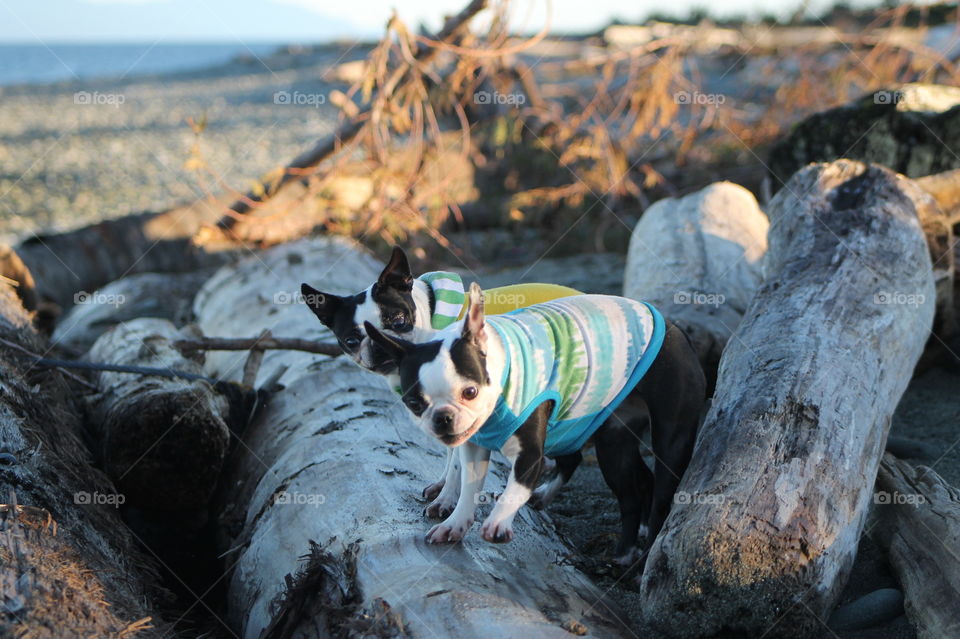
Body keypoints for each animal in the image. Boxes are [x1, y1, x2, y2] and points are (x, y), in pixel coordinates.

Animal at [364, 282, 700, 568]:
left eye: (469, 392)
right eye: (414, 403)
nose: (443, 417)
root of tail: (672, 327)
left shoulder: (530, 453)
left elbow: (516, 486)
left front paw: (498, 521)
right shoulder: (473, 447)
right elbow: (469, 488)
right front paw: (454, 525)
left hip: (669, 437)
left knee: (661, 498)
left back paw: (642, 559)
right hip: (613, 442)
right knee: (628, 493)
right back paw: (623, 553)